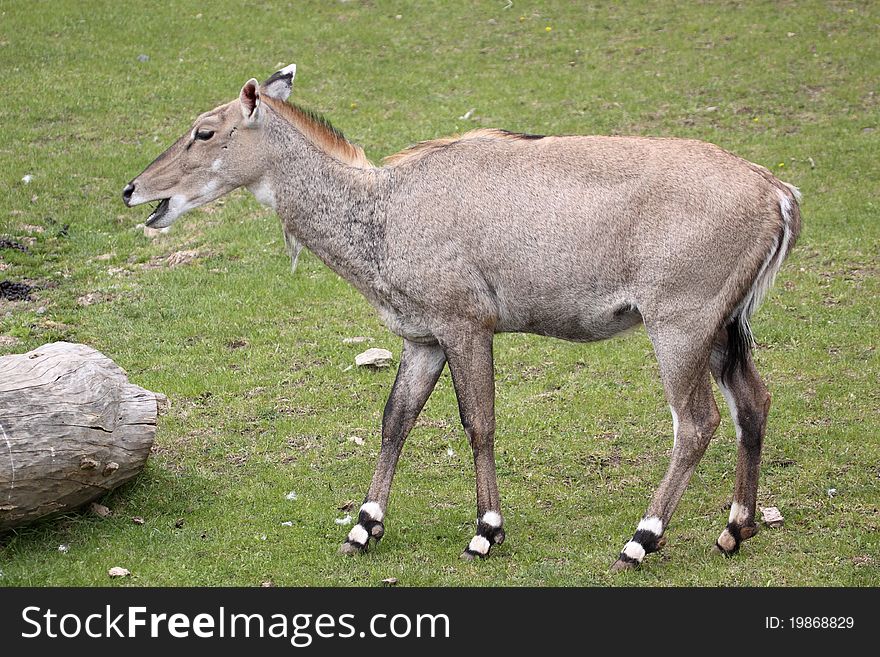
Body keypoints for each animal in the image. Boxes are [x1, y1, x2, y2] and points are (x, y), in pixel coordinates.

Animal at [125, 65, 804, 568]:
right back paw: (734, 528)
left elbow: (478, 422)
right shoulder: (421, 338)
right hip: (723, 328)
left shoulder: (465, 325)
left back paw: (642, 539)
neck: (383, 210)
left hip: (679, 324)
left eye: (204, 132)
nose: (133, 189)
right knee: (753, 401)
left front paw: (486, 529)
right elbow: (394, 420)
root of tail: (778, 193)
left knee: (697, 422)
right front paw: (364, 526)